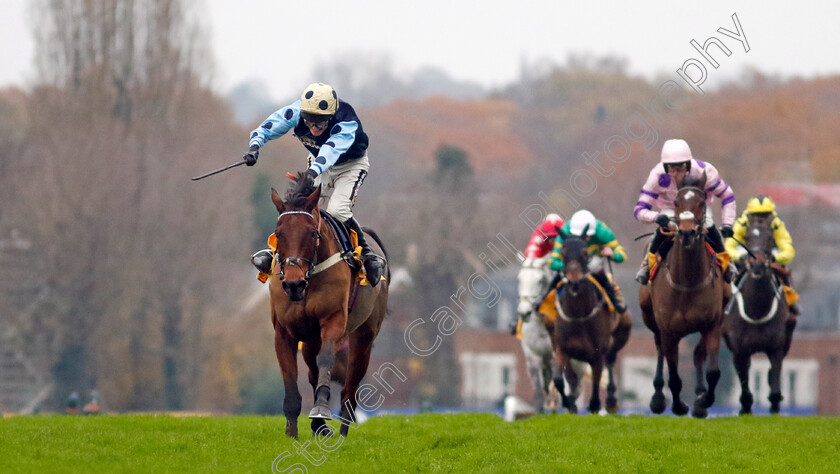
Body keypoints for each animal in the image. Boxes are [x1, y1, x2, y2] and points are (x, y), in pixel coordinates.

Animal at [268, 174, 388, 436]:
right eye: (278, 234)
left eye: (313, 233)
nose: (293, 284)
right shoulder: (284, 331)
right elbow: (290, 377)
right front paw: (292, 432)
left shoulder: (333, 320)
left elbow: (326, 360)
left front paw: (321, 408)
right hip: (310, 339)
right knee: (313, 371)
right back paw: (319, 427)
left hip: (364, 335)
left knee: (349, 389)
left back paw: (341, 431)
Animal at [552, 235, 632, 412]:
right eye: (562, 253)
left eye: (585, 253)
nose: (574, 279)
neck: (578, 315)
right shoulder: (562, 349)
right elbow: (560, 381)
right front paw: (569, 403)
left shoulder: (596, 355)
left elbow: (595, 387)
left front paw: (594, 404)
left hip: (621, 335)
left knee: (610, 360)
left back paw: (611, 400)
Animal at [720, 215, 796, 414]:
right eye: (747, 237)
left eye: (770, 237)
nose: (757, 264)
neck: (756, 311)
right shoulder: (739, 350)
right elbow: (745, 385)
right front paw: (744, 409)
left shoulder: (776, 347)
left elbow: (775, 385)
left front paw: (775, 406)